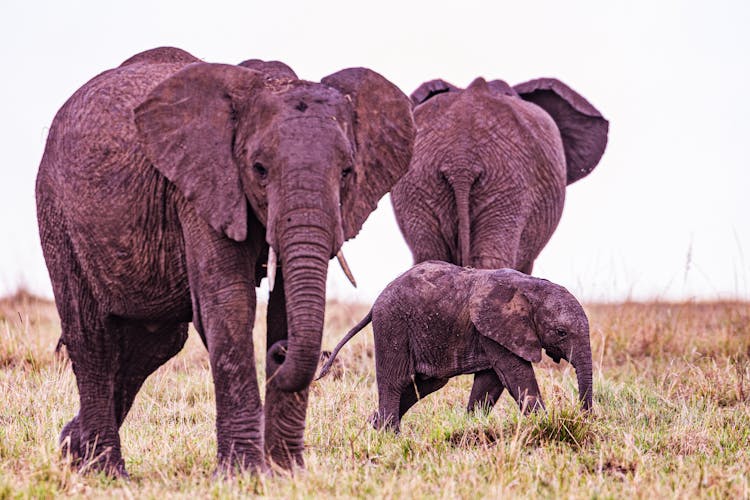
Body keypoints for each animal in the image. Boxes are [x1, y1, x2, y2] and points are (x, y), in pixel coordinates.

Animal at [36, 47, 418, 476]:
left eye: (348, 171)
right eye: (259, 169)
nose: (279, 353)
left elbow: (283, 305)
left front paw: (286, 472)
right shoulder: (202, 186)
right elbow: (229, 302)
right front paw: (244, 474)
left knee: (156, 343)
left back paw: (72, 450)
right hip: (57, 214)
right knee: (92, 338)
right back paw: (105, 471)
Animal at [318, 262, 592, 434]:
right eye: (561, 332)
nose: (584, 418)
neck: (530, 288)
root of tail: (375, 303)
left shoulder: (494, 332)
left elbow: (490, 381)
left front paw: (471, 426)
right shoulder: (494, 328)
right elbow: (516, 375)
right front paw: (547, 424)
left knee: (424, 384)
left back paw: (373, 425)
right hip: (392, 324)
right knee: (396, 381)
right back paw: (389, 434)